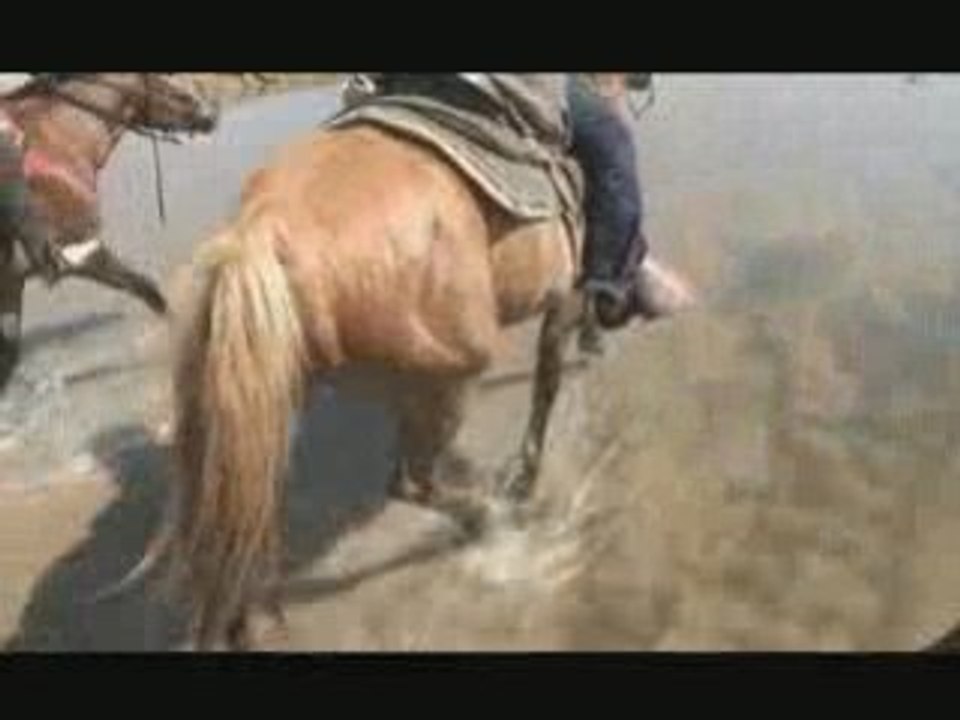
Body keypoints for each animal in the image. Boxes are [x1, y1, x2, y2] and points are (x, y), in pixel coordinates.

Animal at [0, 73, 219, 391]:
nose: (210, 113)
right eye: (169, 77)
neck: (61, 140)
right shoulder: (81, 251)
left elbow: (8, 354)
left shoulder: (12, 281)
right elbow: (150, 291)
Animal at [154, 73, 644, 650]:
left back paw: (246, 622)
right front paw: (525, 477)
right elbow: (546, 386)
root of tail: (265, 227)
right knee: (410, 483)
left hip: (275, 399)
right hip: (449, 376)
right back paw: (488, 517)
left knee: (245, 519)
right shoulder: (564, 296)